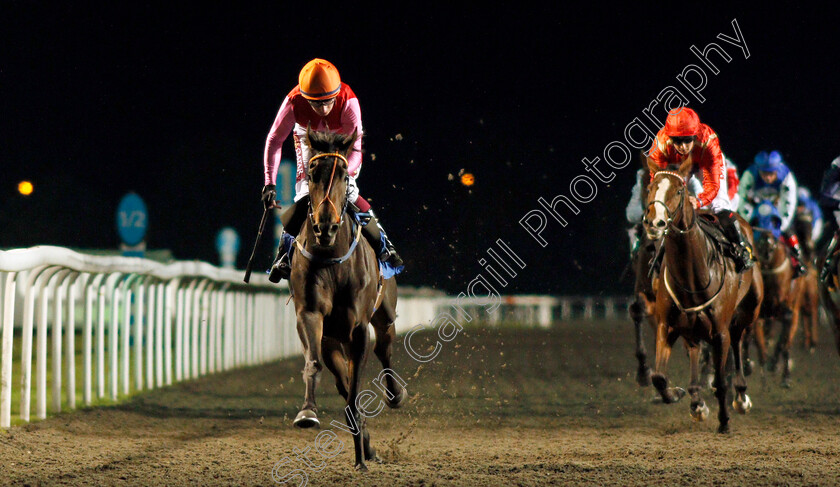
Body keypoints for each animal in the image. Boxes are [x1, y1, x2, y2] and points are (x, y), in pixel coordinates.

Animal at [290, 127, 406, 470]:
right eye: (311, 173)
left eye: (343, 174)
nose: (325, 226)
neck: (332, 258)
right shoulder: (312, 315)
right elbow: (315, 364)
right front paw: (308, 412)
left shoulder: (358, 329)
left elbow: (355, 391)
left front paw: (360, 459)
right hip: (333, 339)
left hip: (385, 316)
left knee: (384, 350)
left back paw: (395, 395)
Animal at [640, 159, 764, 434]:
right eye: (650, 187)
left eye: (678, 191)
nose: (655, 223)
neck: (692, 276)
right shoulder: (666, 325)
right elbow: (658, 377)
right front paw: (677, 393)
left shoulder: (719, 332)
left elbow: (720, 380)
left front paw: (724, 421)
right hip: (690, 327)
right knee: (694, 349)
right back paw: (696, 401)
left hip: (749, 310)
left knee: (738, 340)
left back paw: (741, 396)